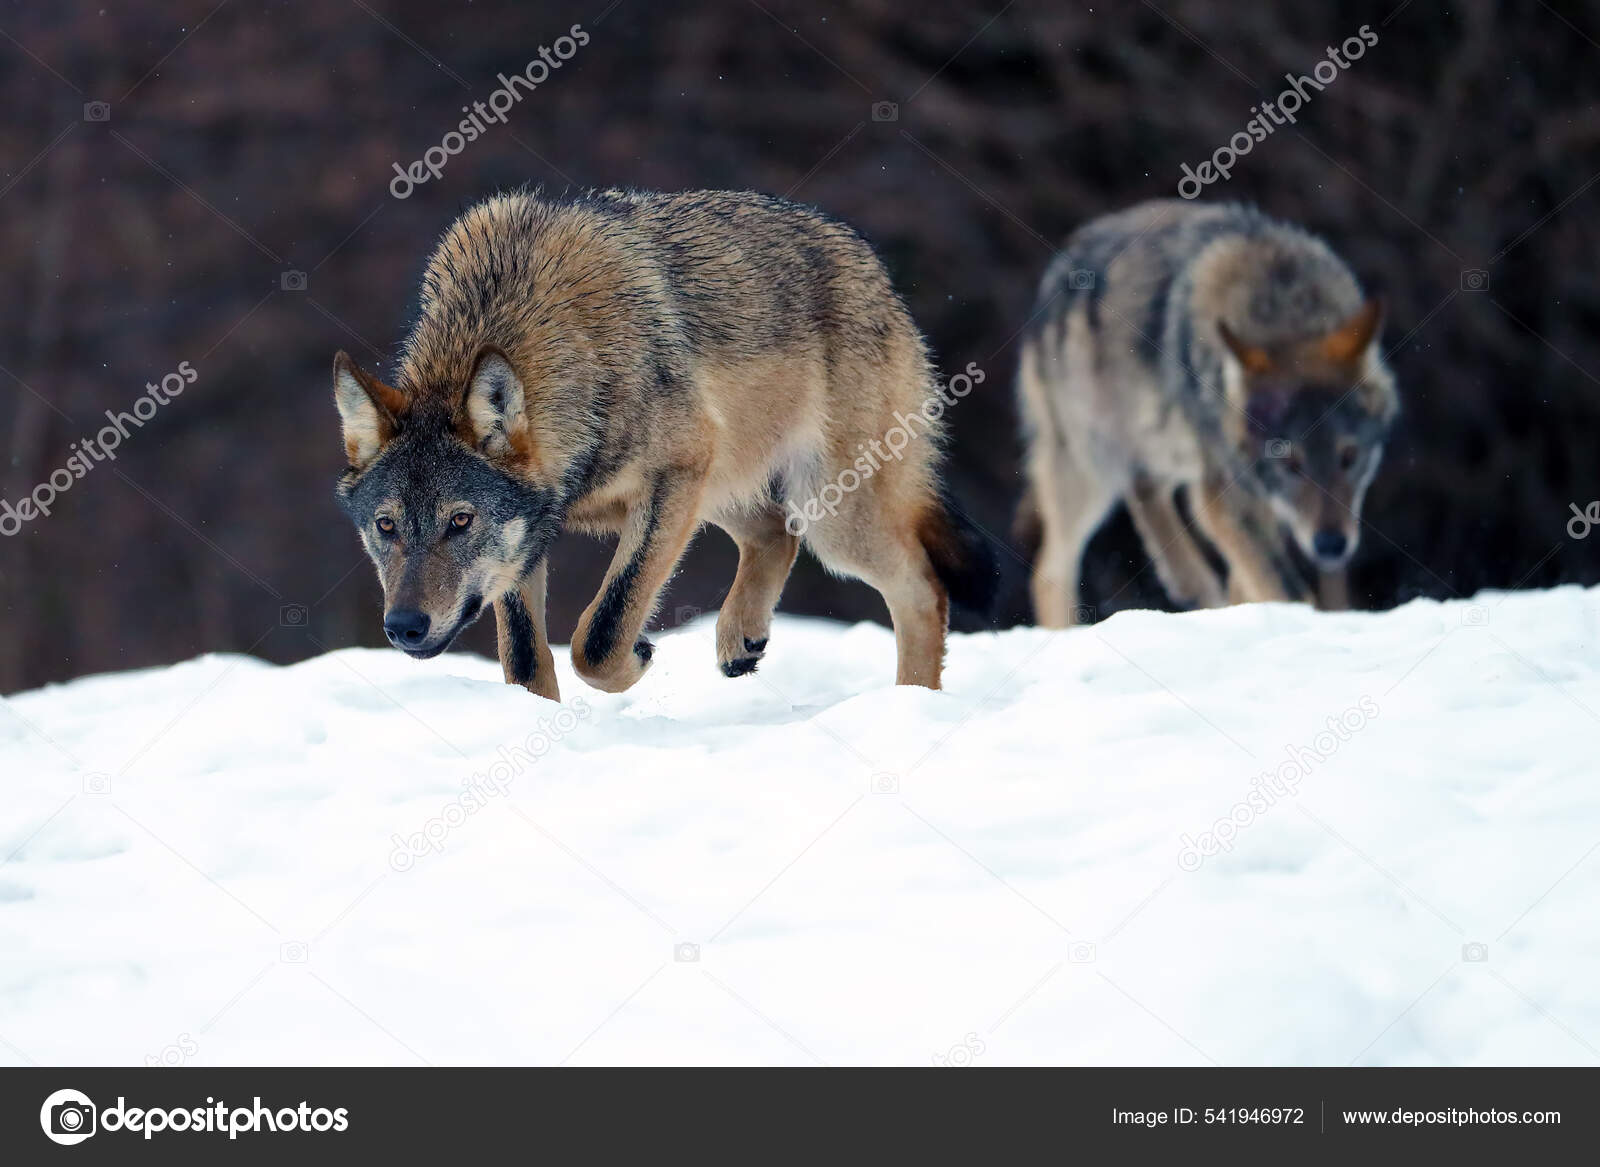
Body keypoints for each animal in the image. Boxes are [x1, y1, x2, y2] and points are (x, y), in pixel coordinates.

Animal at [332, 188, 996, 698]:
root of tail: (871, 265)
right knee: (775, 534)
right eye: (386, 526)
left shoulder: (672, 477)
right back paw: (741, 639)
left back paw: (910, 708)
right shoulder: (534, 534)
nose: (404, 627)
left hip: (826, 512)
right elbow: (523, 660)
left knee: (920, 587)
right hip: (727, 486)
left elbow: (601, 635)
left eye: (461, 521)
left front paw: (636, 660)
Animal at [1014, 200, 1398, 626]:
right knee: (1050, 570)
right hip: (1093, 470)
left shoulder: (1250, 498)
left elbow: (1249, 582)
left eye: (1349, 457)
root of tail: (1059, 267)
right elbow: (1287, 589)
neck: (1281, 309)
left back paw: (1191, 582)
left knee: (1146, 490)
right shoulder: (1224, 494)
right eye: (1289, 463)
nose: (1331, 545)